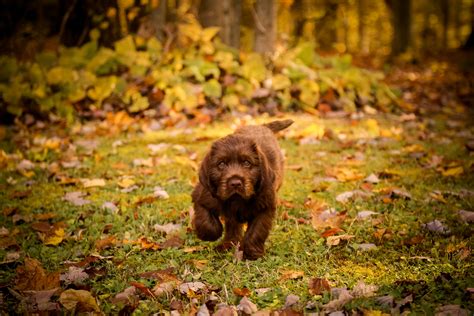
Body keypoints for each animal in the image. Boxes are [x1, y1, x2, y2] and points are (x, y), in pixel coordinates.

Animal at [192, 118, 292, 260]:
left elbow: (257, 230)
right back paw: (227, 244)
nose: (235, 183)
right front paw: (208, 234)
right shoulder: (202, 195)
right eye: (221, 164)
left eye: (246, 163)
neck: (236, 200)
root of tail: (261, 126)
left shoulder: (266, 206)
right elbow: (205, 219)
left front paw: (252, 252)